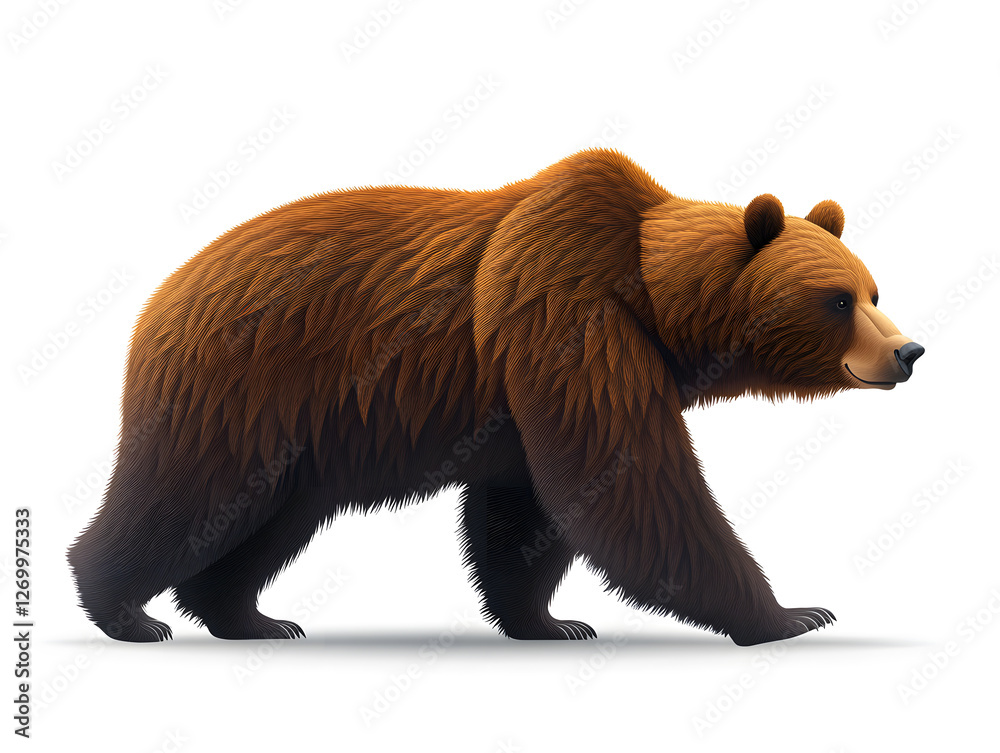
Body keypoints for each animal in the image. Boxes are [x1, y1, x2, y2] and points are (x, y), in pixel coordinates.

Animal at [67, 148, 924, 645]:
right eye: (837, 299)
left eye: (873, 289)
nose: (907, 351)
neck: (656, 304)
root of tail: (159, 299)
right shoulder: (567, 313)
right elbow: (636, 483)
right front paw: (789, 613)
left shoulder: (525, 389)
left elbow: (529, 510)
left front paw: (550, 618)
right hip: (243, 386)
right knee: (185, 493)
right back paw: (125, 610)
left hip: (299, 436)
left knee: (263, 519)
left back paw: (251, 616)